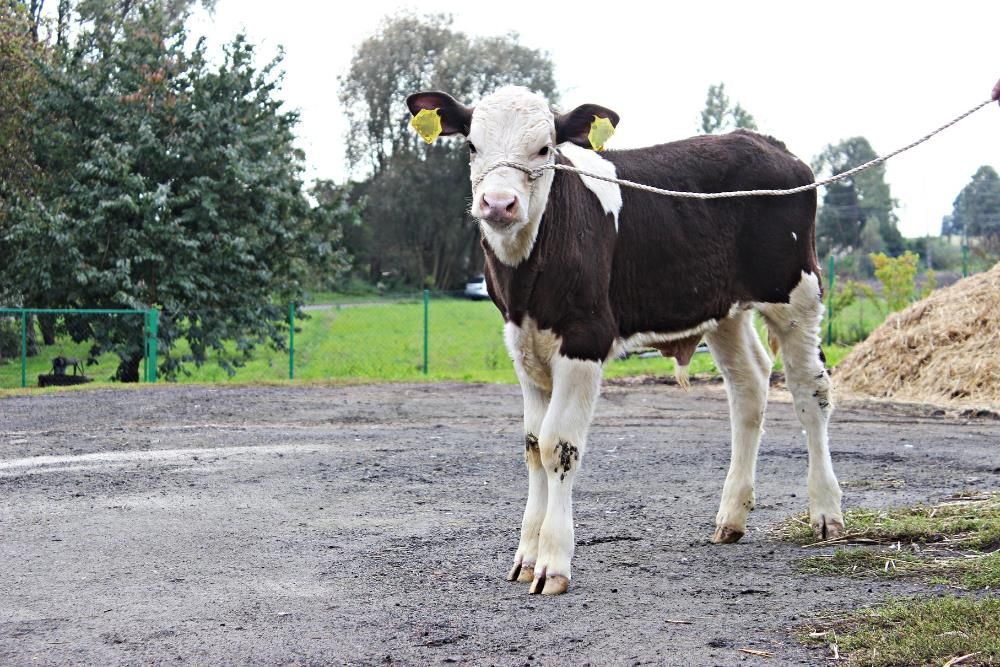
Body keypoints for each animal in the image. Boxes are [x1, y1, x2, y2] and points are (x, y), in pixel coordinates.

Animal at [406, 87, 844, 596]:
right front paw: (526, 557)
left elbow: (559, 446)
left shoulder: (585, 338)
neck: (528, 277)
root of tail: (767, 143)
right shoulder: (522, 346)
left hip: (796, 291)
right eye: (472, 146)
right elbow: (533, 446)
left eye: (545, 150)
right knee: (749, 386)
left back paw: (826, 512)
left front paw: (553, 562)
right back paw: (732, 517)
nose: (498, 204)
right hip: (723, 309)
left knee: (810, 389)